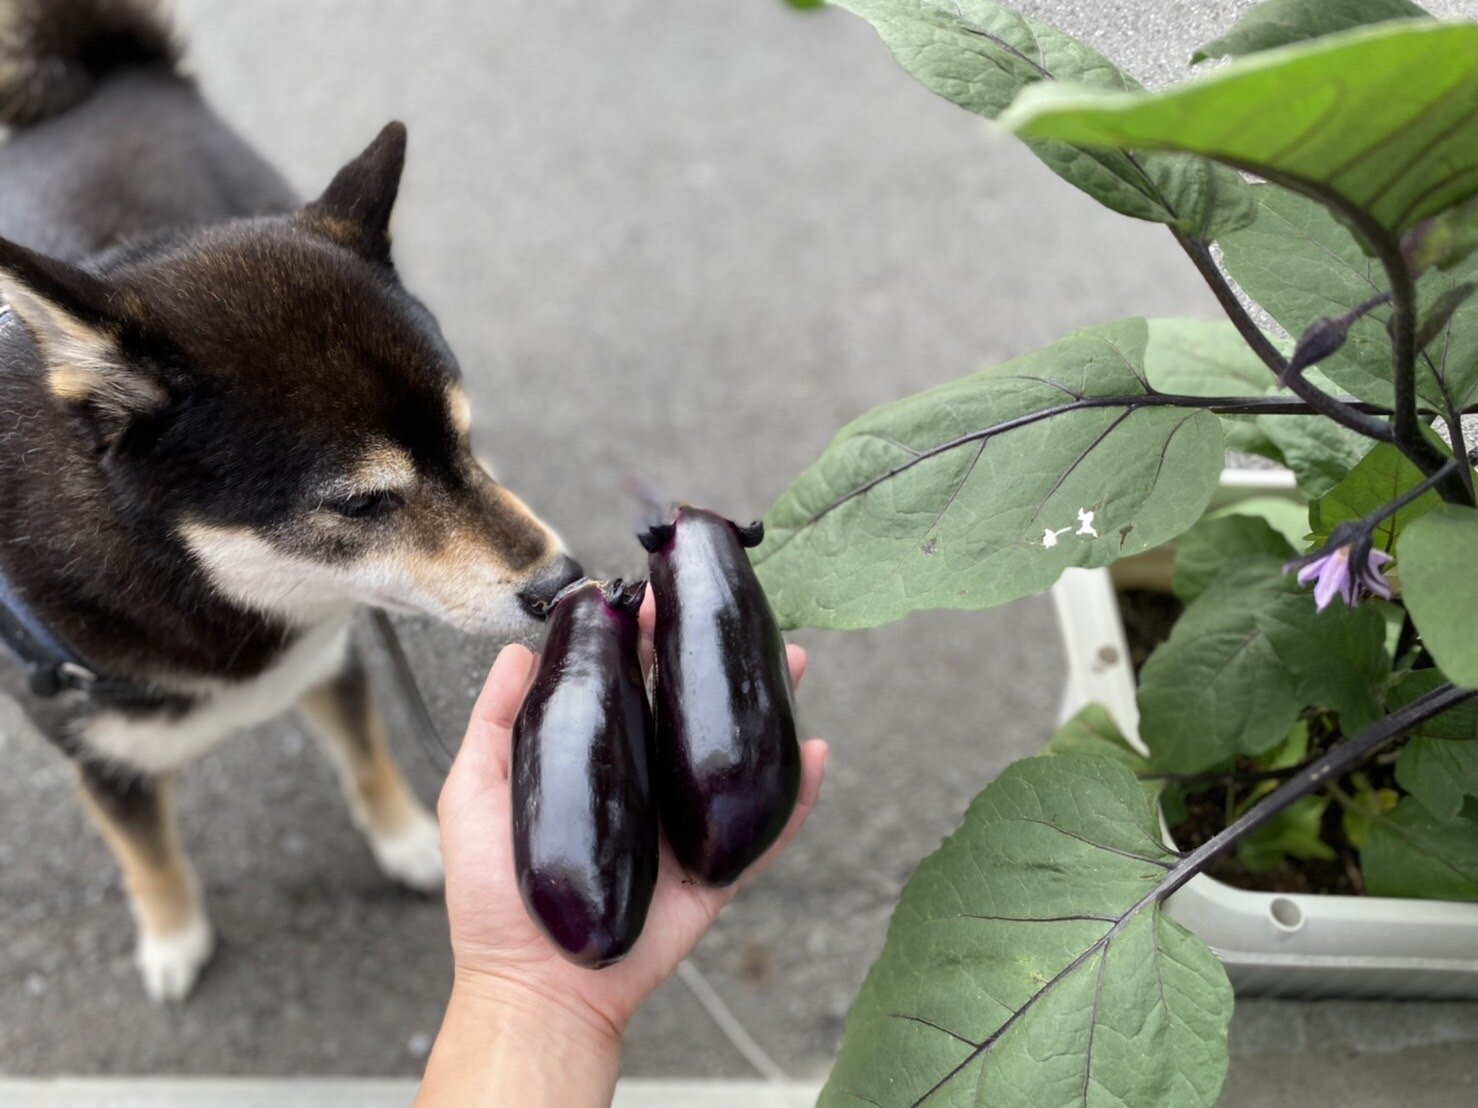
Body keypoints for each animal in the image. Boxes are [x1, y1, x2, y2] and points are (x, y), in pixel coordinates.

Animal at [0, 0, 585, 1004]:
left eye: (462, 438)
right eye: (362, 504)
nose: (561, 581)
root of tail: (109, 78)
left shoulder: (330, 656)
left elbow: (367, 758)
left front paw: (408, 841)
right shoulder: (99, 756)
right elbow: (146, 854)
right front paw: (174, 935)